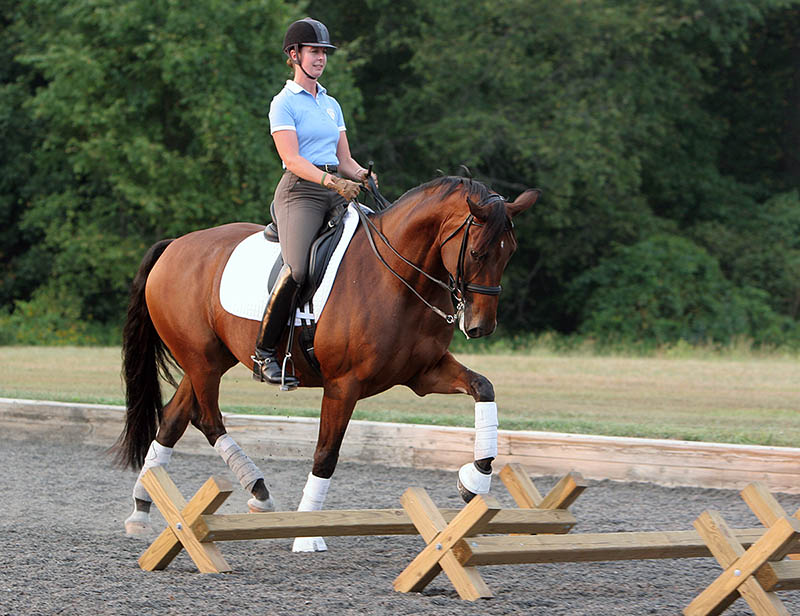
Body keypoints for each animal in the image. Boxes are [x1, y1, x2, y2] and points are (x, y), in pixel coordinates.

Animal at [114, 176, 536, 552]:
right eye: (478, 252)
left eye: (510, 252)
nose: (480, 326)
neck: (397, 278)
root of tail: (175, 245)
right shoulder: (343, 385)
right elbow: (326, 454)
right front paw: (307, 533)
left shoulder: (423, 373)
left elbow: (483, 387)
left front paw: (474, 480)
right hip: (202, 359)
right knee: (207, 419)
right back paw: (259, 491)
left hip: (209, 360)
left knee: (174, 418)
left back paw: (142, 507)